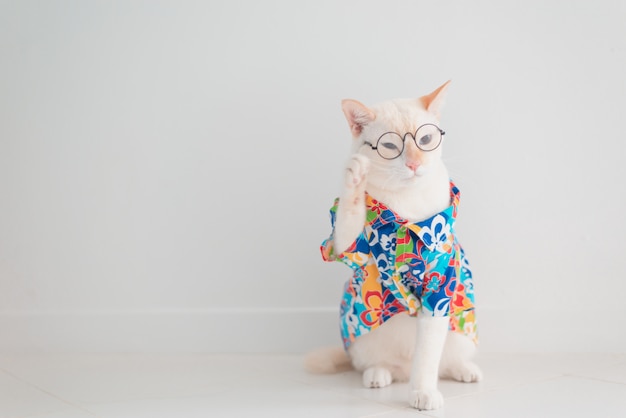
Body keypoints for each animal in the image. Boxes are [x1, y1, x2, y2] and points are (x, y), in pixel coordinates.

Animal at [310, 80, 480, 410]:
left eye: (425, 139)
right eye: (390, 146)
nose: (414, 164)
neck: (407, 203)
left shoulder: (439, 291)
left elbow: (427, 357)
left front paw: (423, 391)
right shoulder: (350, 245)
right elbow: (348, 217)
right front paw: (355, 179)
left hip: (460, 332)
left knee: (444, 361)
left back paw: (465, 369)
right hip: (363, 340)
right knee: (374, 364)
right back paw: (379, 374)